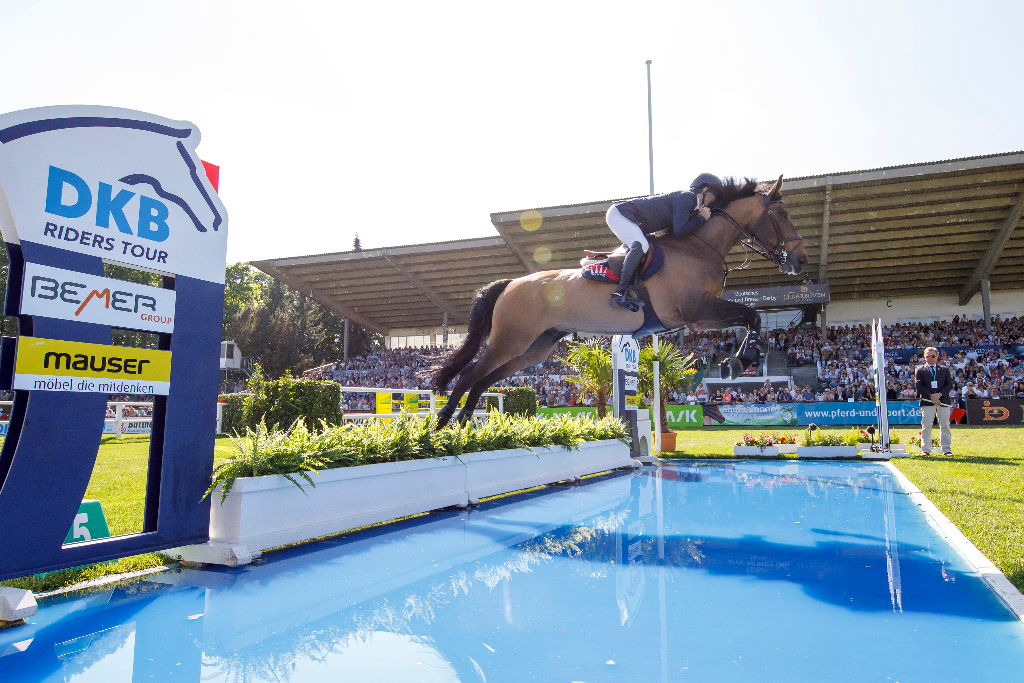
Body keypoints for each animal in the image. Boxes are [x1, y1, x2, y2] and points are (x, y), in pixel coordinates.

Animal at [428, 175, 802, 428]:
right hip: (510, 340)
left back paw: (463, 422)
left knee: (484, 379)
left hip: (534, 348)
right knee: (471, 374)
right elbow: (751, 314)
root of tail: (511, 284)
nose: (801, 260)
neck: (699, 245)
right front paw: (738, 362)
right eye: (783, 214)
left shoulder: (699, 318)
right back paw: (443, 422)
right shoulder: (696, 308)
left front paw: (737, 360)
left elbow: (750, 317)